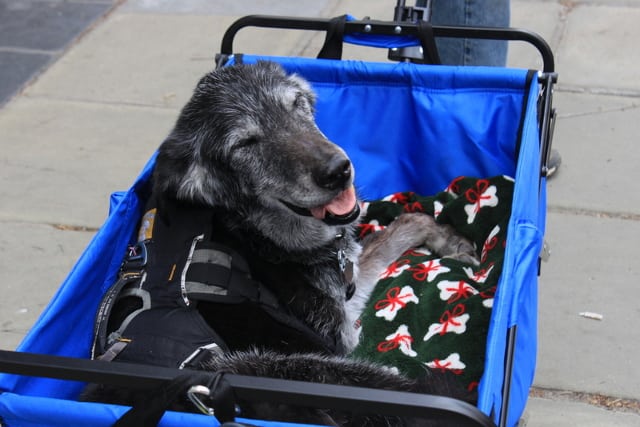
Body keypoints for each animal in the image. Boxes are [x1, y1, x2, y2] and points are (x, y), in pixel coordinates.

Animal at [87, 61, 482, 427]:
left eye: (295, 104)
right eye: (245, 143)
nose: (338, 171)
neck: (252, 233)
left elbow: (404, 224)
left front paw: (448, 239)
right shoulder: (342, 330)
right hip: (322, 373)